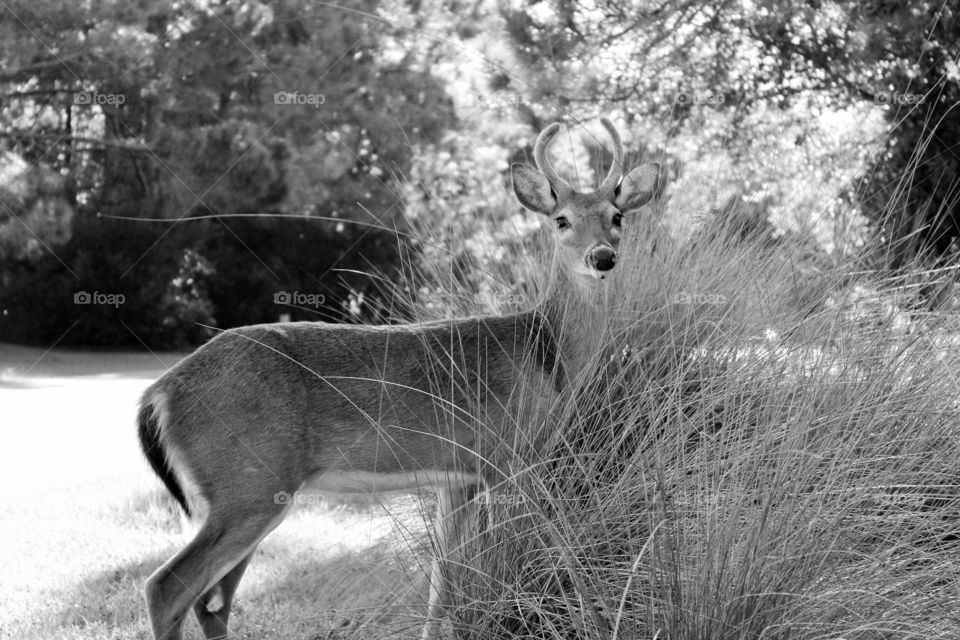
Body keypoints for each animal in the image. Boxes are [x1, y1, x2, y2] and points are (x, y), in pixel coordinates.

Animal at [138, 117, 660, 640]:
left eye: (617, 216)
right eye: (562, 219)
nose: (602, 257)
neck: (546, 355)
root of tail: (156, 393)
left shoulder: (458, 478)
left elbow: (441, 585)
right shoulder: (509, 458)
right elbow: (558, 548)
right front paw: (600, 620)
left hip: (246, 490)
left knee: (212, 602)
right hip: (248, 482)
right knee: (167, 587)